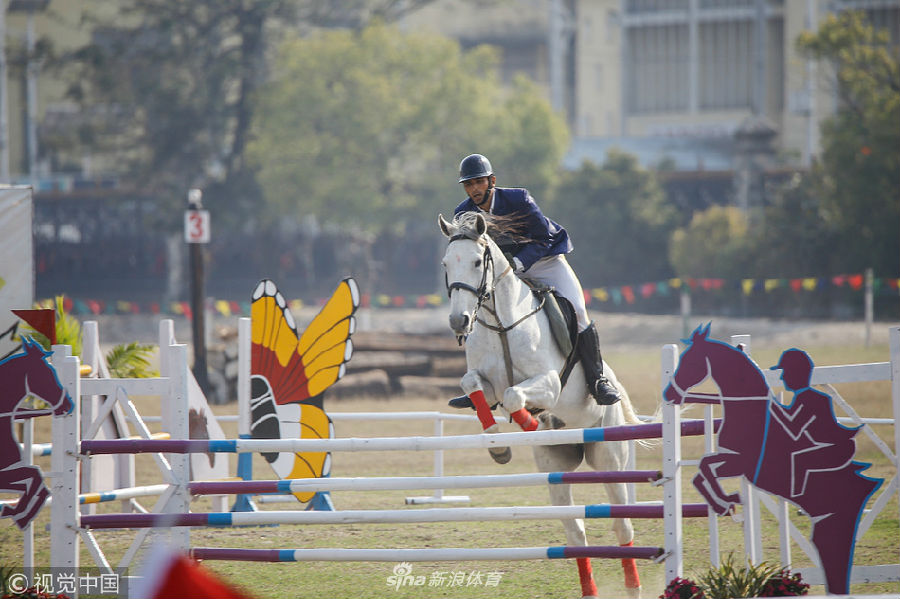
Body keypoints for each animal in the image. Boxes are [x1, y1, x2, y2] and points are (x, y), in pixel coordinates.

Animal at [0, 337, 73, 529]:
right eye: (47, 373)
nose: (68, 405)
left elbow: (39, 483)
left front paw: (16, 513)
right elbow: (35, 478)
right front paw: (15, 512)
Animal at [439, 211, 644, 599]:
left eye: (476, 262)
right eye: (446, 264)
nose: (459, 322)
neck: (501, 323)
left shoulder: (549, 385)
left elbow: (514, 395)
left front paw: (530, 425)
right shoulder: (483, 383)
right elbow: (475, 388)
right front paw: (499, 446)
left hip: (609, 460)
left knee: (623, 526)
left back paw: (633, 587)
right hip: (556, 469)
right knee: (575, 531)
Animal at [662, 324, 882, 594]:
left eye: (690, 361)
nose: (669, 394)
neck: (749, 412)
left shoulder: (742, 463)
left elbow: (705, 469)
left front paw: (727, 502)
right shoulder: (732, 459)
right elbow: (701, 474)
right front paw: (726, 502)